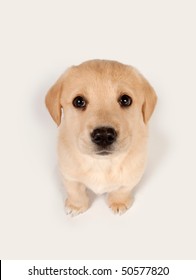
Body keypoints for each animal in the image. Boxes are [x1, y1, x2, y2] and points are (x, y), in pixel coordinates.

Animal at [45, 60, 157, 215]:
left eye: (125, 100)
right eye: (78, 101)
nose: (104, 135)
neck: (101, 163)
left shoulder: (132, 175)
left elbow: (122, 190)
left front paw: (118, 202)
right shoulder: (68, 174)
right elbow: (75, 191)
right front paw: (76, 205)